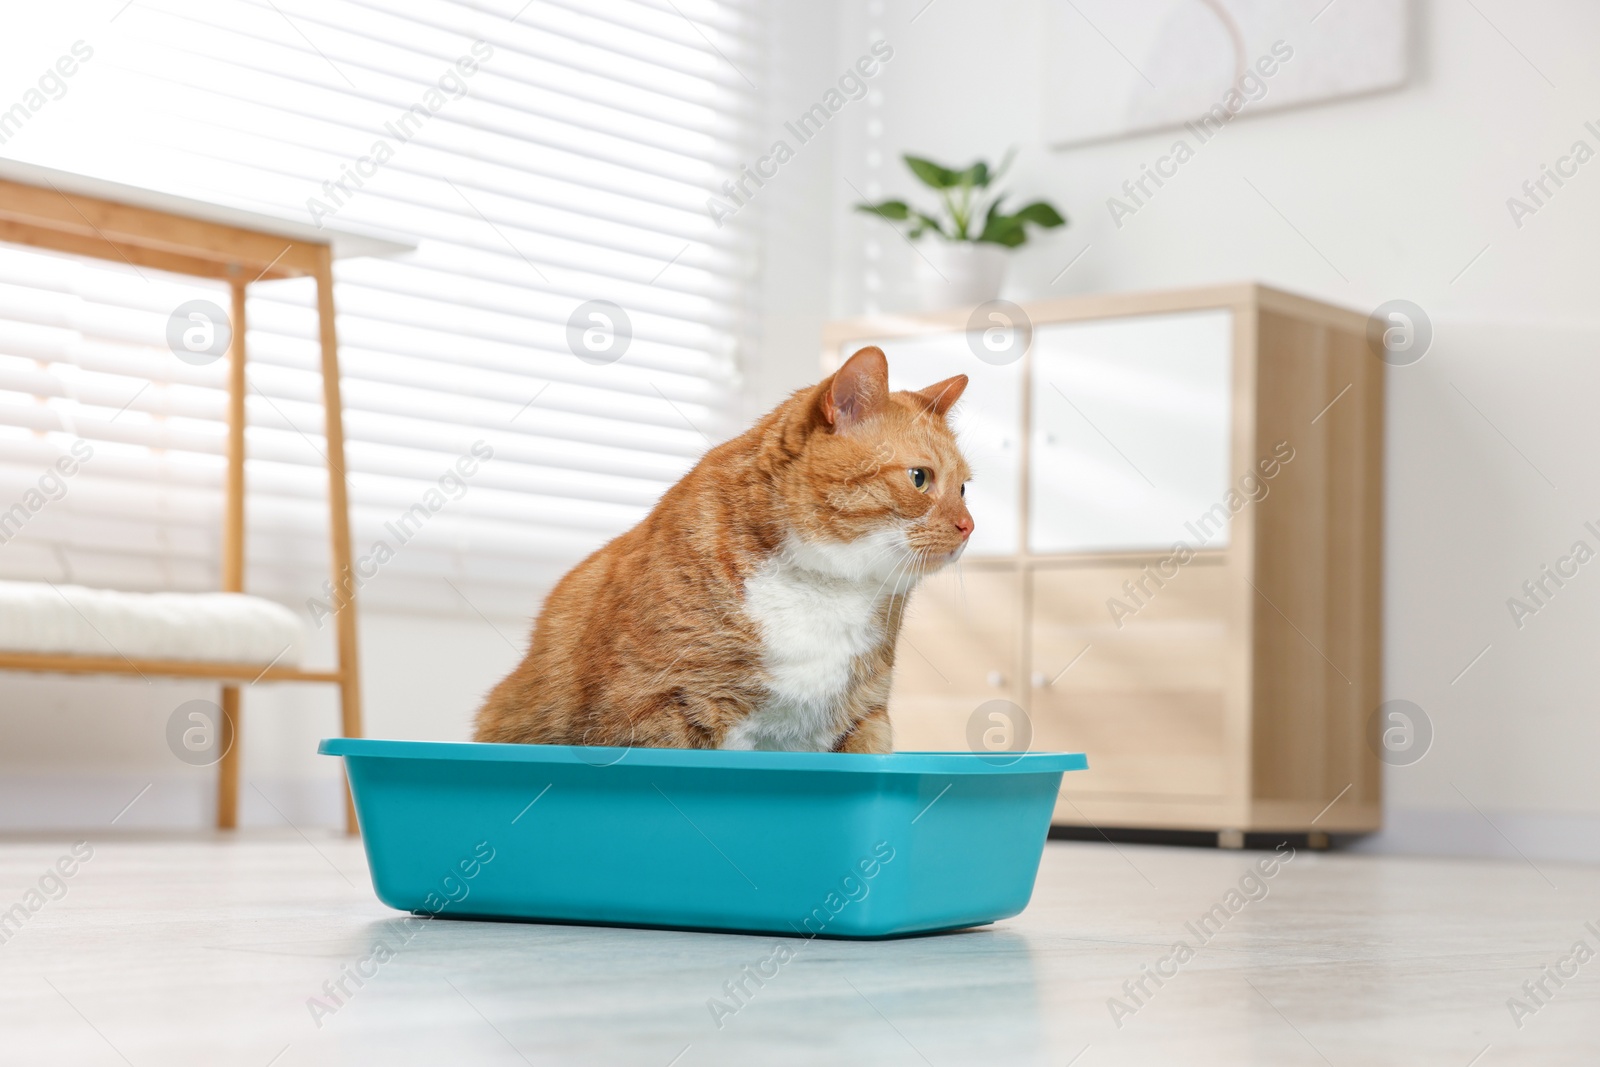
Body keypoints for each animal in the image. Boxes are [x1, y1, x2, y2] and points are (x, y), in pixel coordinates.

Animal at [470, 347, 972, 755]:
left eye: (965, 488)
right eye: (920, 479)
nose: (969, 527)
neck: (826, 588)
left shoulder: (865, 721)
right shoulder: (656, 710)